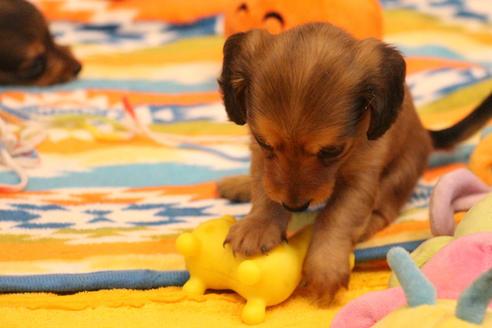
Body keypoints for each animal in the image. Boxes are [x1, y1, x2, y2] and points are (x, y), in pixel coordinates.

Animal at [217, 23, 492, 304]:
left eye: (331, 150)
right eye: (263, 141)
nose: (295, 206)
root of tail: (426, 134)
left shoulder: (360, 180)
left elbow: (336, 216)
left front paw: (325, 265)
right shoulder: (261, 160)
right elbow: (265, 194)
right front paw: (257, 226)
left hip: (400, 172)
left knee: (384, 208)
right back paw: (239, 185)